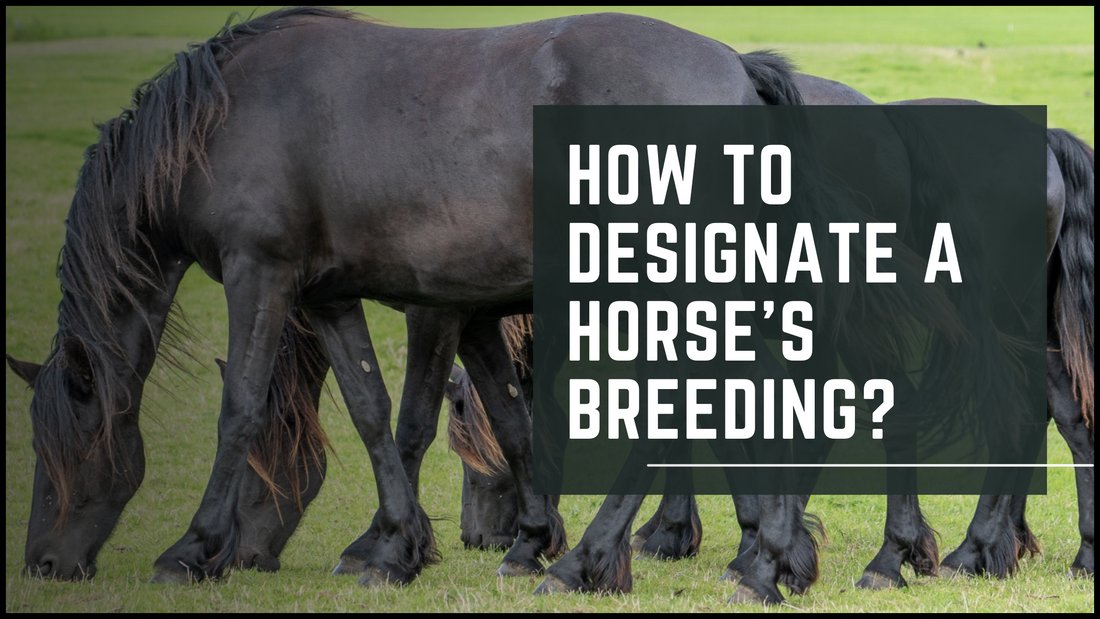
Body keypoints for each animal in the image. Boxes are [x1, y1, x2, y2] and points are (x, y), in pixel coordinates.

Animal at [4, 7, 815, 585]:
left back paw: (592, 563)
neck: (221, 119)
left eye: (60, 448)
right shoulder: (329, 296)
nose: (43, 563)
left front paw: (192, 548)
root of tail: (736, 68)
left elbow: (244, 408)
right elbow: (382, 411)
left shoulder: (261, 274)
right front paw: (397, 546)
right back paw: (758, 559)